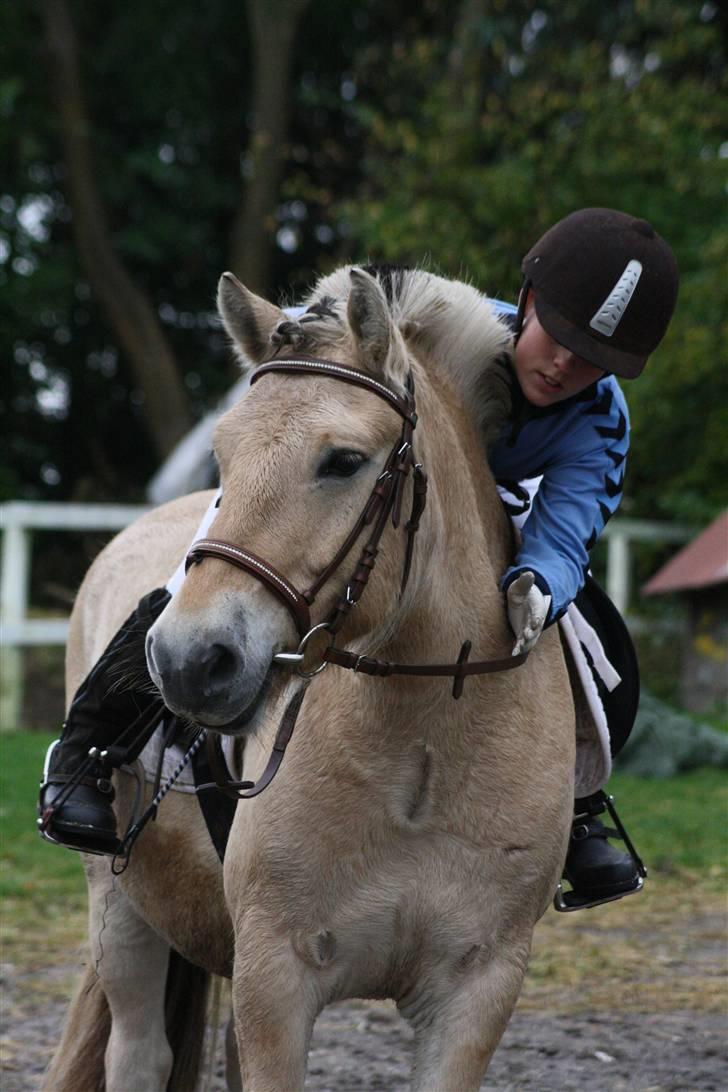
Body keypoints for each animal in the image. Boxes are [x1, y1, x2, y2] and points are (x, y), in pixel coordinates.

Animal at [45, 266, 576, 1092]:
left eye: (344, 461)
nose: (190, 661)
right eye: (224, 457)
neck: (423, 753)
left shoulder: (477, 991)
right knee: (137, 1053)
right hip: (120, 905)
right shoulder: (277, 978)